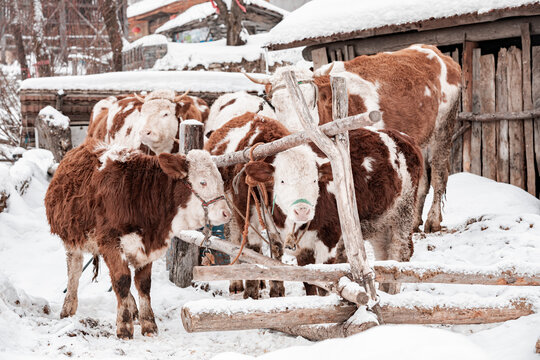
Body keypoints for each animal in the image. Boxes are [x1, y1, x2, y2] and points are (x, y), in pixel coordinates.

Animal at [46, 140, 230, 338]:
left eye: (220, 182)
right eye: (202, 182)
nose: (226, 213)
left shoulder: (145, 247)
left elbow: (142, 284)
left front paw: (148, 323)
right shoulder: (110, 242)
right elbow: (122, 280)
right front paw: (124, 326)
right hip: (73, 239)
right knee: (75, 270)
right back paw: (68, 307)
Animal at [206, 113, 422, 298]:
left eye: (314, 180)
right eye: (282, 181)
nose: (303, 210)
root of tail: (401, 136)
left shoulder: (330, 237)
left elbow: (325, 278)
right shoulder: (259, 228)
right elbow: (304, 276)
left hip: (402, 214)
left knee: (400, 253)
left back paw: (392, 292)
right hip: (381, 221)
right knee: (385, 255)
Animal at [247, 43, 462, 233]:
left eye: (311, 100)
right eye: (275, 105)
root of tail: (436, 52)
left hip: (443, 127)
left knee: (439, 175)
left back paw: (433, 221)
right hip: (422, 138)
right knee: (424, 181)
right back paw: (415, 221)